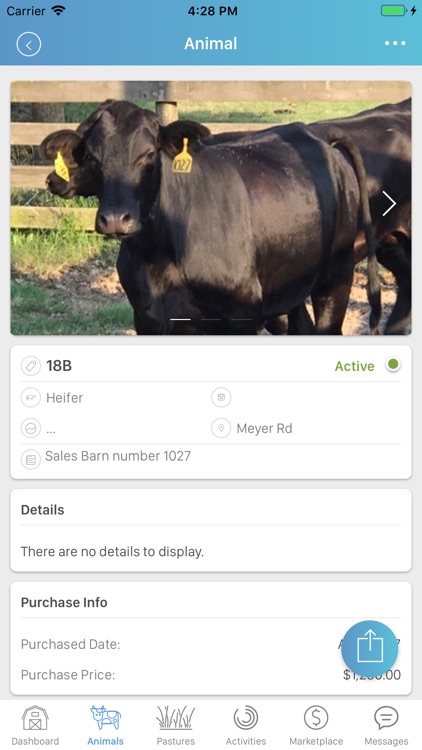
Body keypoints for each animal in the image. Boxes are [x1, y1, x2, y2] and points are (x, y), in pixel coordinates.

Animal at [41, 100, 379, 335]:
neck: (158, 256)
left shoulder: (240, 316)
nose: (114, 219)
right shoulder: (147, 317)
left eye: (148, 154)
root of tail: (313, 129)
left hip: (336, 277)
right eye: (91, 156)